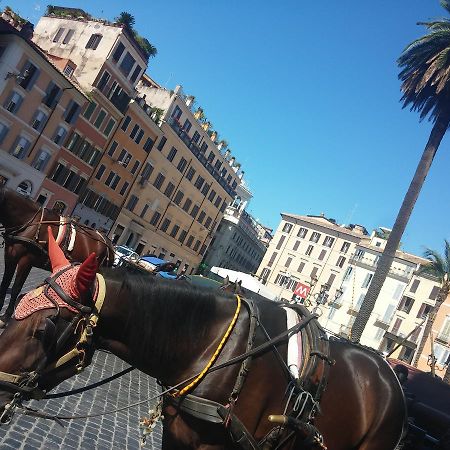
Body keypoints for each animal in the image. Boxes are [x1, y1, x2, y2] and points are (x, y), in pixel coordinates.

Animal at [0, 187, 114, 324]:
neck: (29, 222)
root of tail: (108, 243)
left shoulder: (26, 261)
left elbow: (16, 288)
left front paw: (6, 316)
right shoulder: (10, 256)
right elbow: (4, 284)